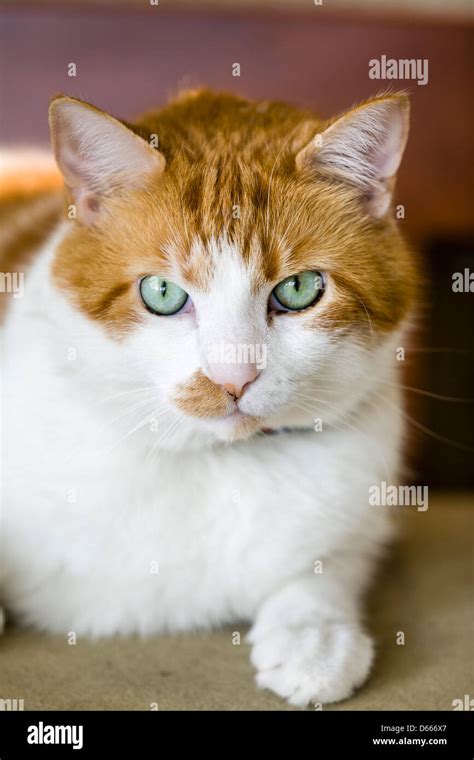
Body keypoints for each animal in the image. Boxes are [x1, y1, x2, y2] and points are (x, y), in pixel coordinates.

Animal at [0, 89, 414, 708]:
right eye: (162, 293)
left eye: (299, 289)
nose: (232, 377)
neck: (211, 461)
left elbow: (327, 564)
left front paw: (314, 637)